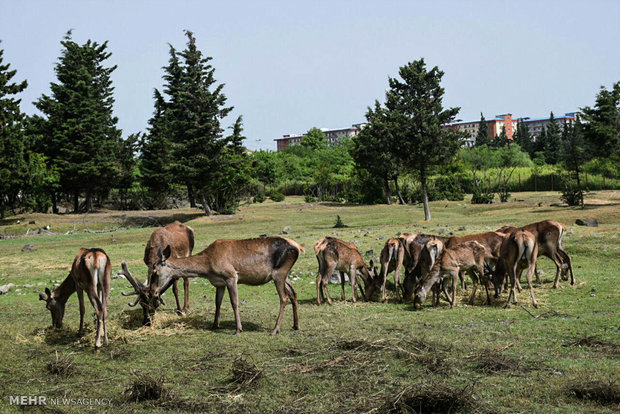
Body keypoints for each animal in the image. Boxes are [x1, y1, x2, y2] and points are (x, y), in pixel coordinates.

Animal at [121, 238, 306, 334]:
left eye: (155, 272)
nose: (152, 291)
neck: (208, 266)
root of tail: (298, 248)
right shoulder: (219, 283)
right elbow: (217, 303)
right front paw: (214, 325)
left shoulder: (231, 276)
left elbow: (234, 303)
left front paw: (238, 329)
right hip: (285, 275)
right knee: (294, 293)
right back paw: (296, 325)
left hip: (279, 274)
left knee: (284, 297)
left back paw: (275, 329)